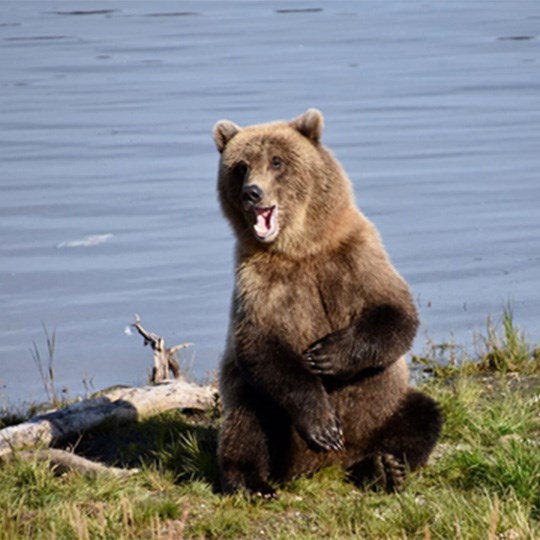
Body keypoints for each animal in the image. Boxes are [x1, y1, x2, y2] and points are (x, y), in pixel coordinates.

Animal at [211, 107, 442, 496]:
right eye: (241, 165)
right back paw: (252, 482)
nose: (252, 193)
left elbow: (396, 313)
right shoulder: (257, 283)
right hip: (262, 412)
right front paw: (323, 424)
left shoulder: (356, 255)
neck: (300, 248)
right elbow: (261, 345)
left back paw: (385, 467)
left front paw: (327, 355)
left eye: (276, 161)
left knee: (423, 414)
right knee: (248, 419)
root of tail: (329, 466)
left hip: (384, 408)